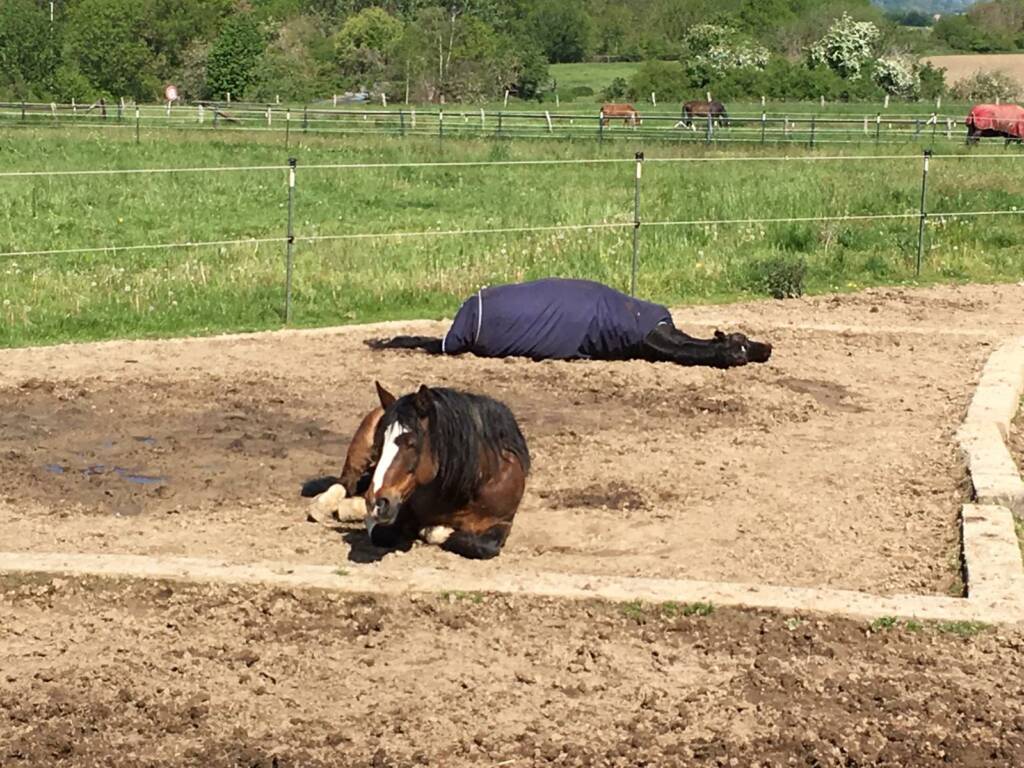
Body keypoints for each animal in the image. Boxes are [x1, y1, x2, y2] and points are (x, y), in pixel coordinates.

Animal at [302, 381, 530, 560]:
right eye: (379, 442)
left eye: (411, 443)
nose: (377, 502)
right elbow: (382, 533)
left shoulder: (502, 523)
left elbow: (481, 545)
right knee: (346, 483)